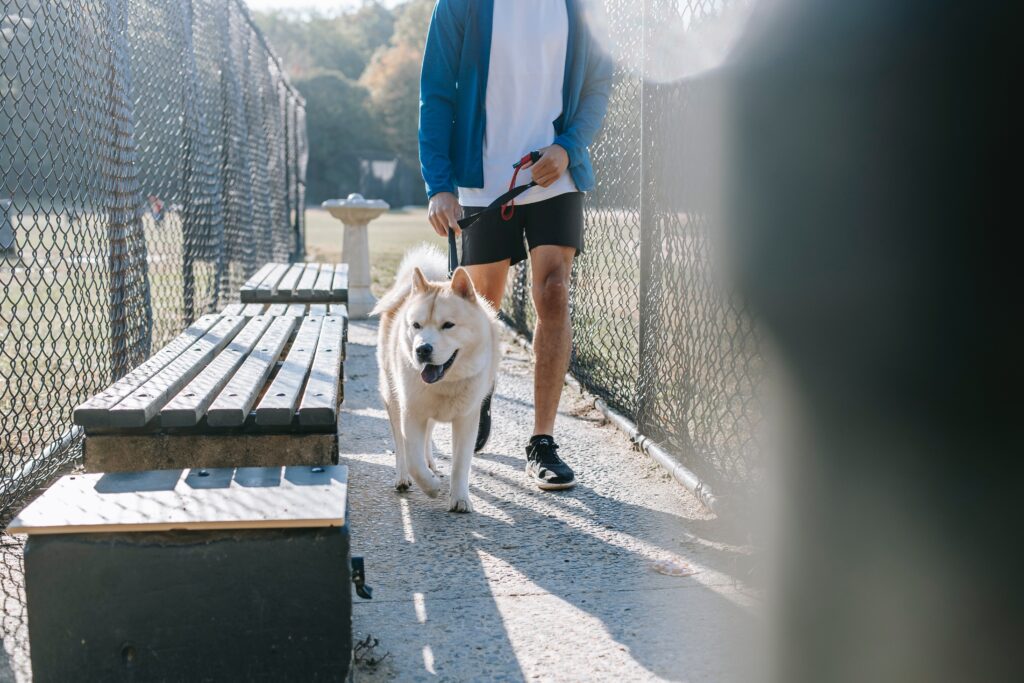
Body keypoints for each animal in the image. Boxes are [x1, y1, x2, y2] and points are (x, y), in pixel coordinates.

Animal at [372, 246, 499, 511]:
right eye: (416, 325)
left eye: (448, 325)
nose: (422, 350)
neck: (446, 383)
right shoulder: (411, 413)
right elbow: (413, 460)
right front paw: (431, 487)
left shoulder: (466, 419)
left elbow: (460, 464)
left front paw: (460, 499)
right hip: (393, 398)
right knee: (401, 447)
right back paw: (403, 477)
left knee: (428, 438)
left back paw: (431, 463)